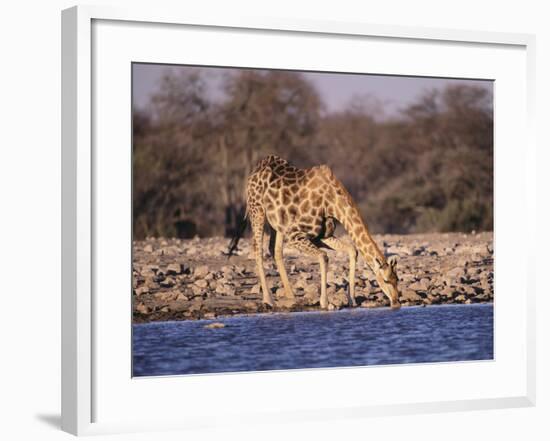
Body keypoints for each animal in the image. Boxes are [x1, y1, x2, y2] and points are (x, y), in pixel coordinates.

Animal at [237, 155, 402, 310]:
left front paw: (352, 300)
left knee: (275, 249)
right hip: (257, 210)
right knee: (258, 249)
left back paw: (290, 296)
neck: (331, 203)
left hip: (277, 222)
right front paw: (325, 302)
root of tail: (254, 171)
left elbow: (352, 250)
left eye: (397, 280)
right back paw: (269, 299)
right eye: (386, 280)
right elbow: (323, 256)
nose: (396, 303)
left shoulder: (322, 236)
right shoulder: (294, 234)